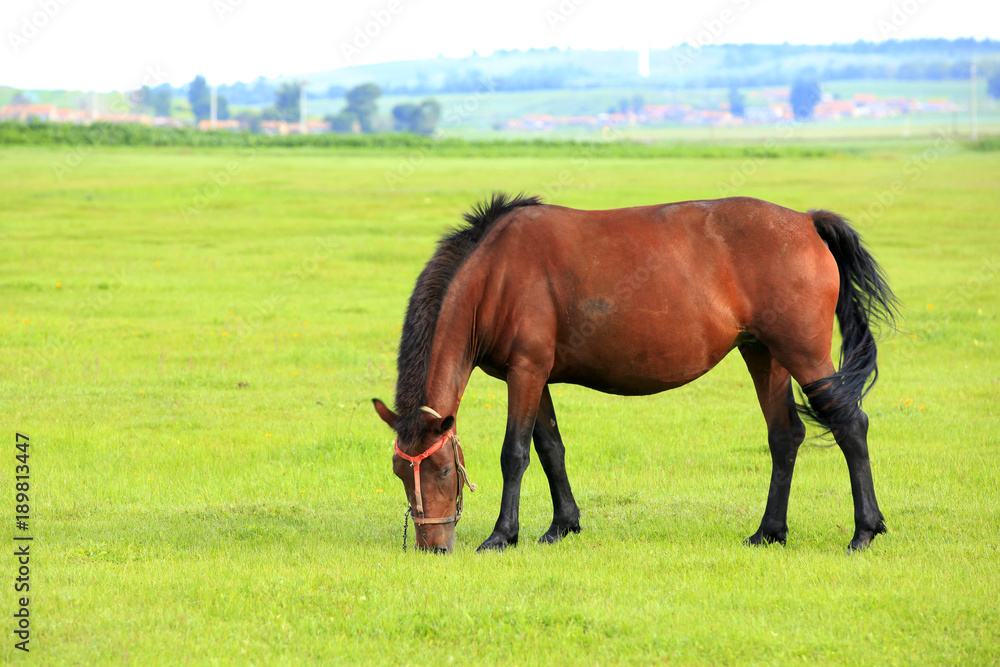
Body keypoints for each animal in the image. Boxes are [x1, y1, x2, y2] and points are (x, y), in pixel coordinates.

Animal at [370, 192, 900, 552]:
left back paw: (864, 531)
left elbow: (515, 454)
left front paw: (503, 534)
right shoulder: (535, 377)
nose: (433, 547)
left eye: (442, 469)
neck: (494, 272)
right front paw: (563, 525)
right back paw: (769, 532)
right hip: (763, 353)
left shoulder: (526, 372)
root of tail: (806, 223)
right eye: (399, 472)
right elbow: (550, 448)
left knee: (851, 425)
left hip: (803, 354)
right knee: (785, 435)